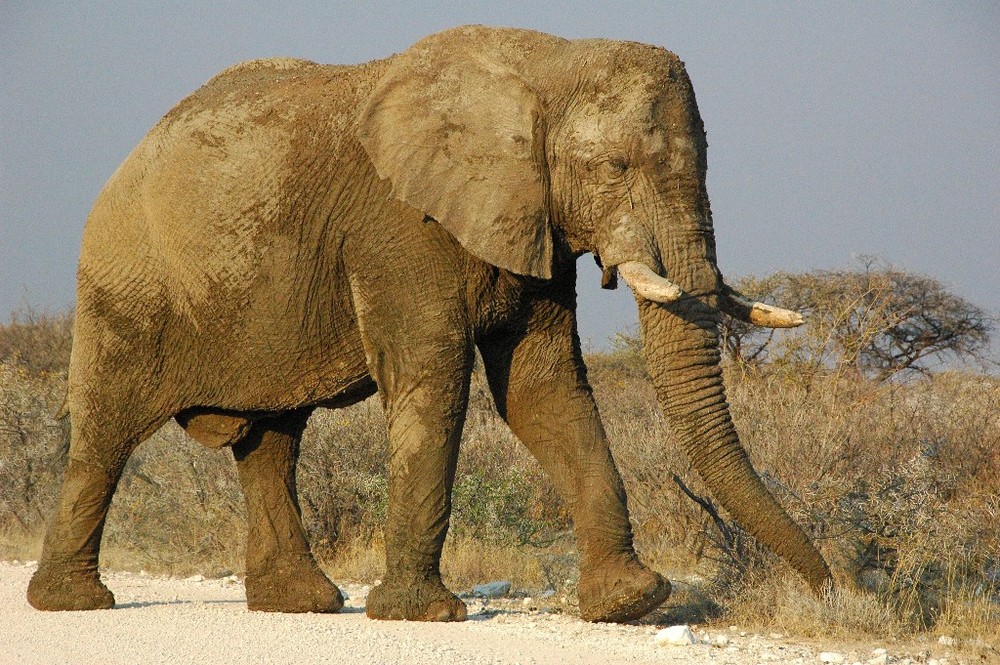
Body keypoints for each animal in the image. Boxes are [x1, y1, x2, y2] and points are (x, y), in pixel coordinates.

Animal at [27, 23, 832, 620]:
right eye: (612, 169)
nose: (829, 588)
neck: (545, 63)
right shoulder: (398, 228)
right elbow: (436, 380)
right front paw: (421, 614)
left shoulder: (530, 220)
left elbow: (543, 389)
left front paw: (630, 602)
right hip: (124, 287)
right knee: (104, 436)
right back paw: (73, 602)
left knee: (271, 444)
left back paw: (304, 604)